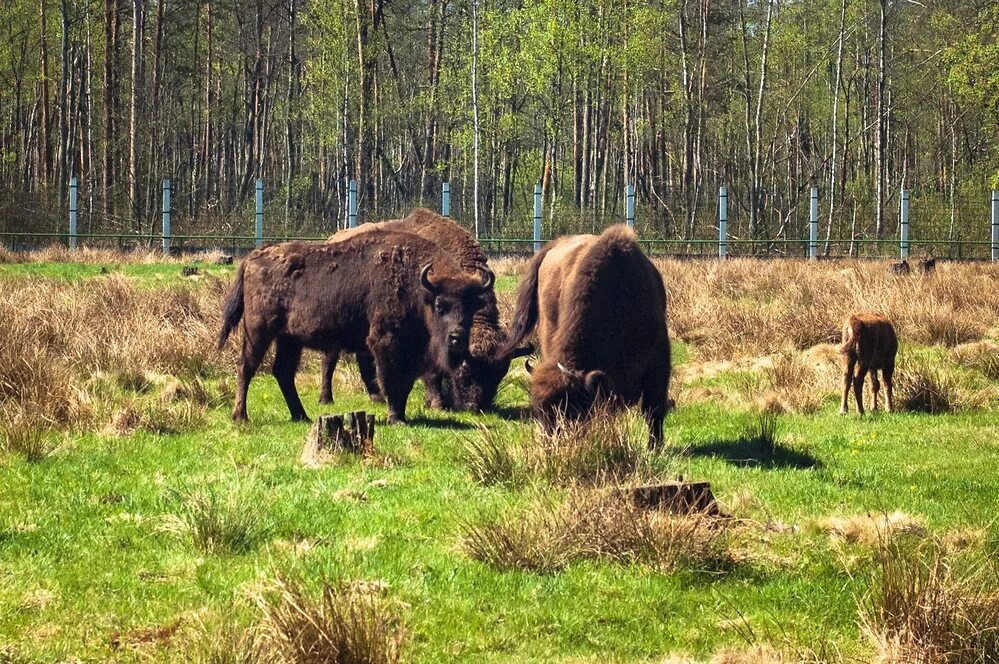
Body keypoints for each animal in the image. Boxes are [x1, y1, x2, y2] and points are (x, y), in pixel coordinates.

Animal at [217, 231, 494, 422]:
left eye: (471, 305)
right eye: (440, 305)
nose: (457, 337)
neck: (418, 286)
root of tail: (253, 257)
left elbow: (404, 385)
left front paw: (401, 416)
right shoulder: (384, 344)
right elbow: (390, 381)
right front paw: (396, 418)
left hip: (289, 339)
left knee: (283, 372)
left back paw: (301, 416)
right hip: (258, 330)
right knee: (246, 367)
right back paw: (241, 417)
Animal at [322, 210, 532, 412]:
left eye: (500, 372)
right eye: (465, 369)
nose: (475, 406)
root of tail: (331, 240)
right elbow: (432, 373)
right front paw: (437, 403)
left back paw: (377, 398)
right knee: (329, 361)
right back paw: (327, 399)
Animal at [500, 226, 672, 448]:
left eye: (570, 407)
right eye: (538, 411)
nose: (551, 443)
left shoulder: (658, 363)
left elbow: (653, 409)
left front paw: (654, 447)